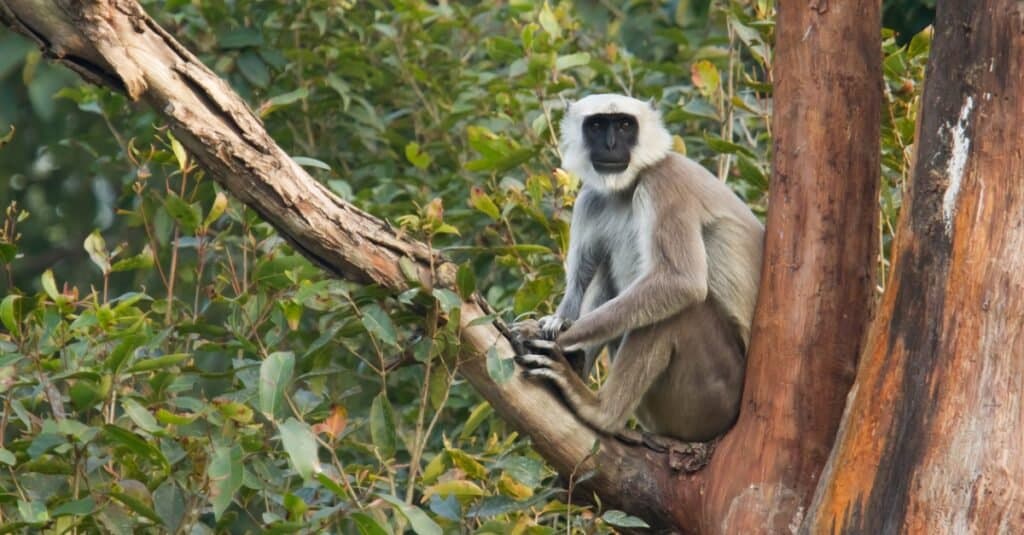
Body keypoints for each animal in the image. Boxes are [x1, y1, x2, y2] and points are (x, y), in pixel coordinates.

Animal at [516, 92, 765, 440]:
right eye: (596, 125)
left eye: (624, 125)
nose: (609, 145)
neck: (629, 185)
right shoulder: (591, 197)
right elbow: (581, 276)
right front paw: (558, 322)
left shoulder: (664, 182)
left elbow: (682, 282)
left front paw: (554, 336)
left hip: (714, 397)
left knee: (677, 311)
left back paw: (600, 411)